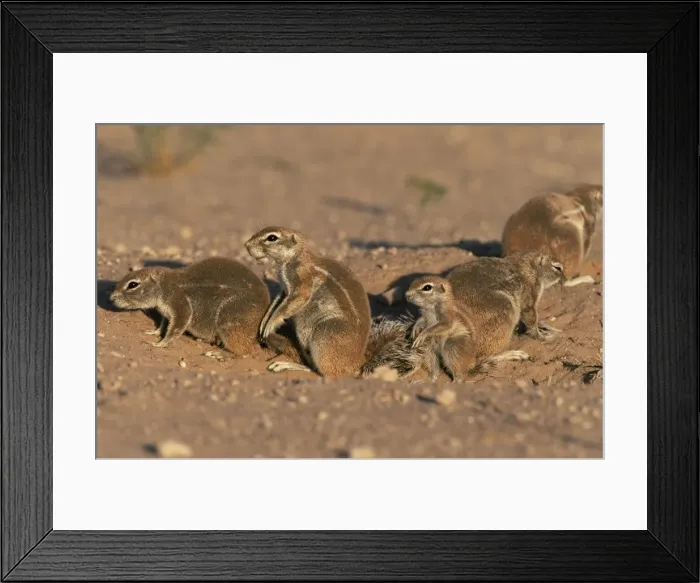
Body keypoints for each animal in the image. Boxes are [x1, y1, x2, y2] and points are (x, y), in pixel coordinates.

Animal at [109, 256, 271, 357]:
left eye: (133, 284)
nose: (111, 298)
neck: (165, 285)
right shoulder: (167, 312)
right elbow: (163, 323)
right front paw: (154, 332)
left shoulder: (180, 305)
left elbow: (175, 328)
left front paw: (160, 344)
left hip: (230, 321)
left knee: (247, 351)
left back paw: (218, 354)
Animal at [405, 251, 565, 382]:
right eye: (557, 267)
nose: (564, 279)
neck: (526, 264)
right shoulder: (530, 293)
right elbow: (531, 318)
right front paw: (544, 336)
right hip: (506, 309)